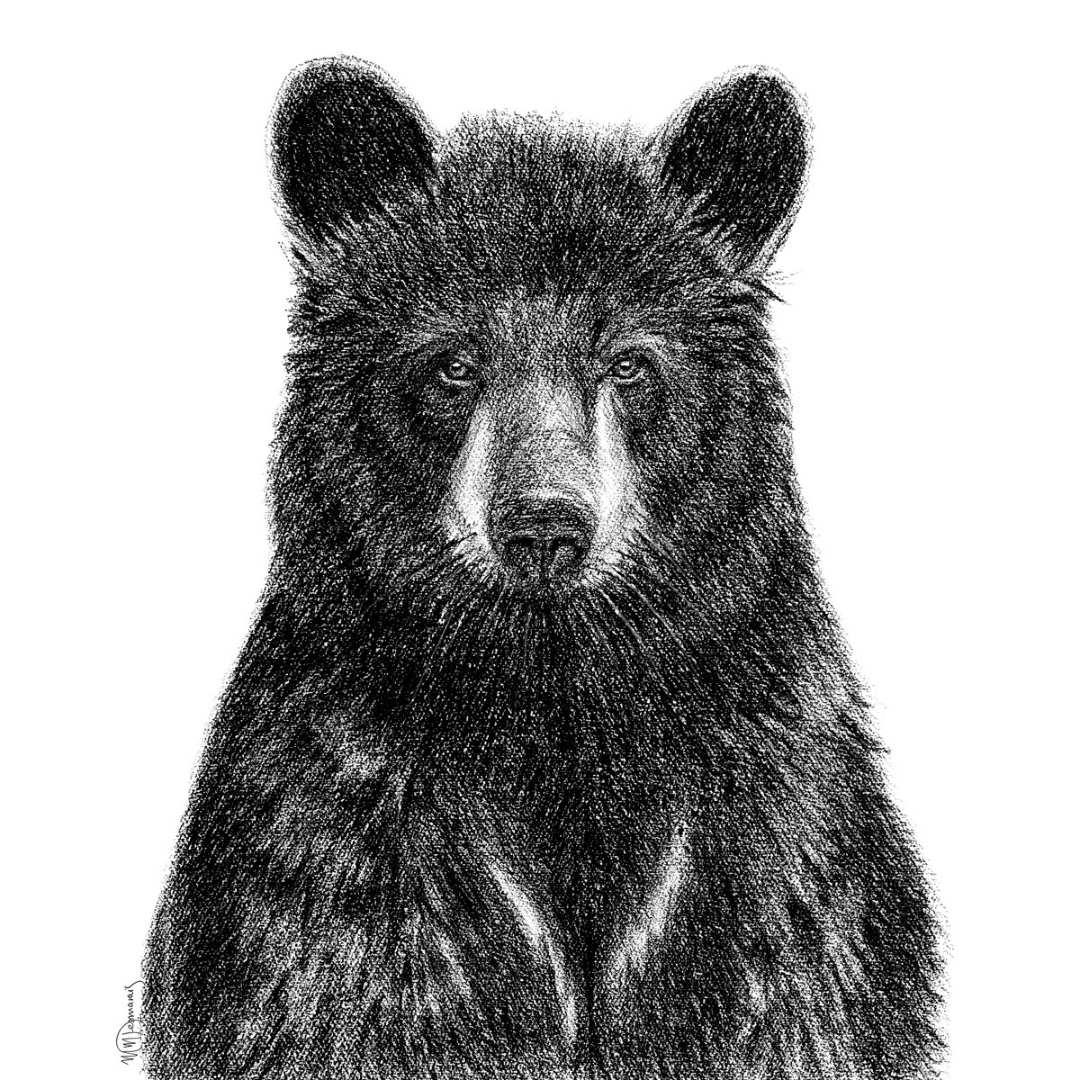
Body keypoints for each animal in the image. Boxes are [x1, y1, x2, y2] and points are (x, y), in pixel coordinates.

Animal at [144, 57, 942, 1080]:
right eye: (453, 363)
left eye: (631, 365)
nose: (544, 526)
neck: (551, 697)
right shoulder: (342, 850)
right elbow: (342, 991)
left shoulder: (770, 851)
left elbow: (800, 986)